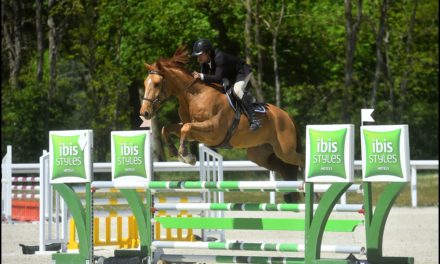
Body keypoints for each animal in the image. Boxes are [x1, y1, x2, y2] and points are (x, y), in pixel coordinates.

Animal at [139, 46, 304, 201]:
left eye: (157, 84)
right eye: (145, 83)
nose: (144, 113)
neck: (194, 96)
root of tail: (287, 116)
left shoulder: (213, 131)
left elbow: (186, 128)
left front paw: (186, 156)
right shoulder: (195, 132)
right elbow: (167, 129)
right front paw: (176, 153)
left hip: (285, 150)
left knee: (300, 159)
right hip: (260, 155)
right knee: (284, 168)